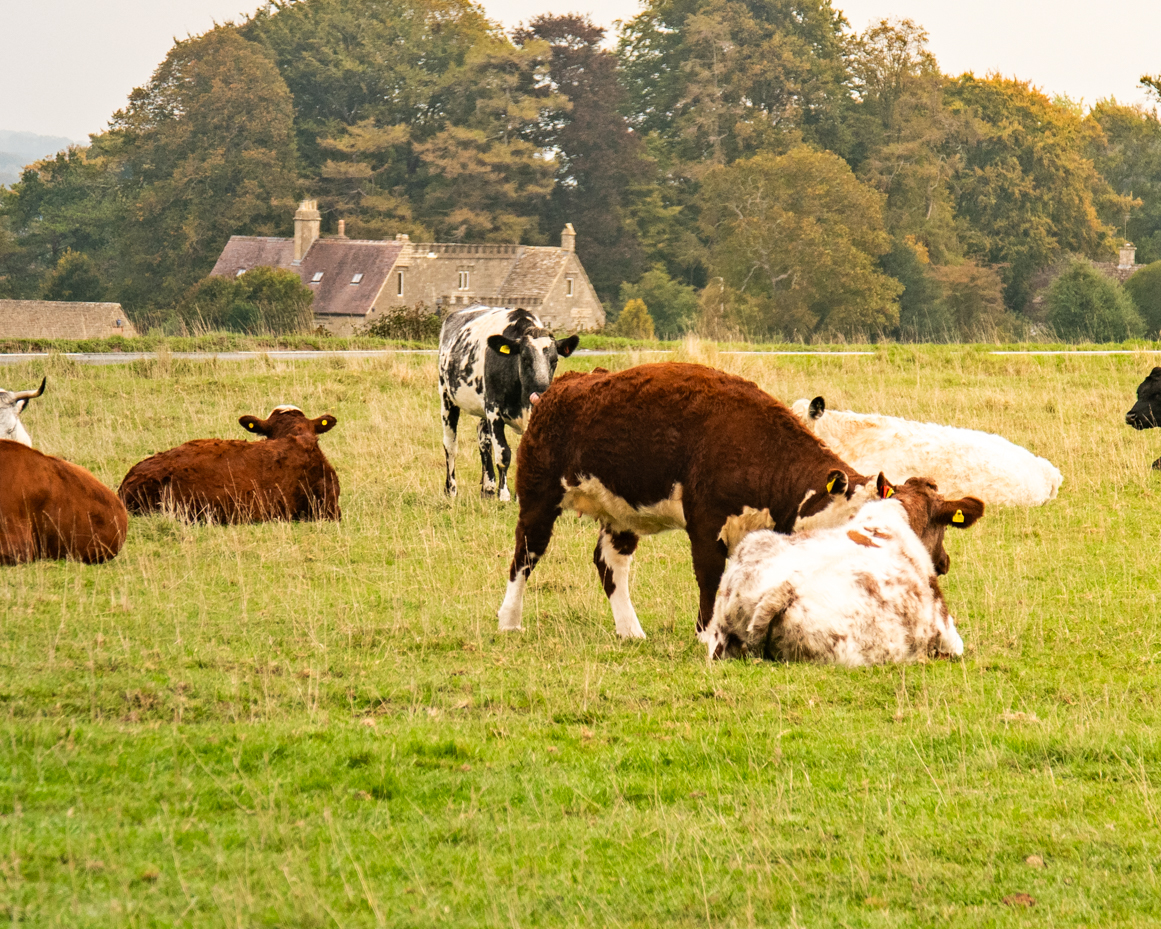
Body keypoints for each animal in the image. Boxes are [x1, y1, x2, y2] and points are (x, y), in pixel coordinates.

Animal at [439, 305, 579, 501]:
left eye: (554, 360)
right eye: (525, 359)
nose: (542, 392)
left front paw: (519, 496)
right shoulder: (494, 410)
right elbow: (504, 454)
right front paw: (504, 495)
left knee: (483, 438)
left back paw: (488, 488)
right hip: (446, 396)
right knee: (450, 444)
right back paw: (451, 489)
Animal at [496, 363, 888, 639]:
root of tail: (565, 383)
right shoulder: (706, 523)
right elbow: (710, 577)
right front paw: (707, 634)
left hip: (619, 514)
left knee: (609, 564)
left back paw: (630, 631)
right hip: (538, 497)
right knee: (525, 555)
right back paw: (509, 621)